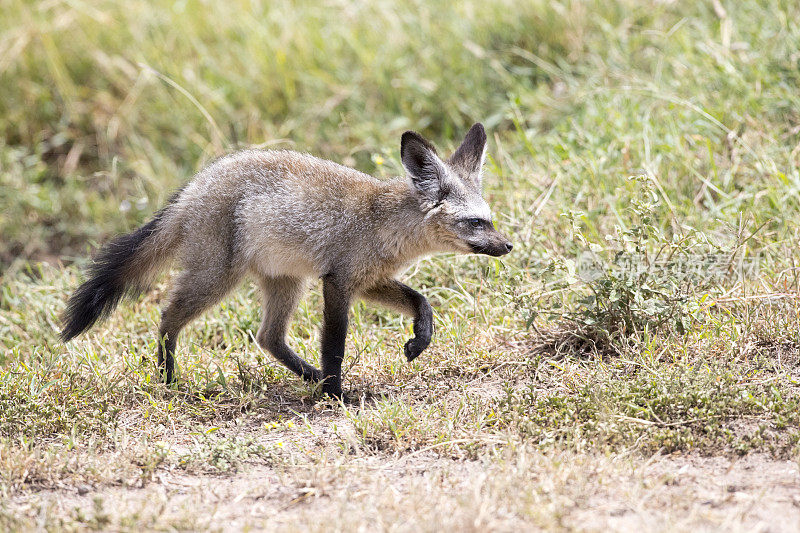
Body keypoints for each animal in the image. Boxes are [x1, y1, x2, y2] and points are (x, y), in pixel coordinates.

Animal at [62, 122, 512, 396]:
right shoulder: (339, 282)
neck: (383, 222)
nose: (507, 246)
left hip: (285, 282)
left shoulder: (367, 280)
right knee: (167, 319)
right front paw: (335, 394)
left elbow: (422, 301)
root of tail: (191, 189)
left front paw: (420, 338)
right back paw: (168, 380)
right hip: (217, 280)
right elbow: (335, 345)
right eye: (475, 222)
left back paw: (308, 376)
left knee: (268, 338)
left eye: (489, 220)